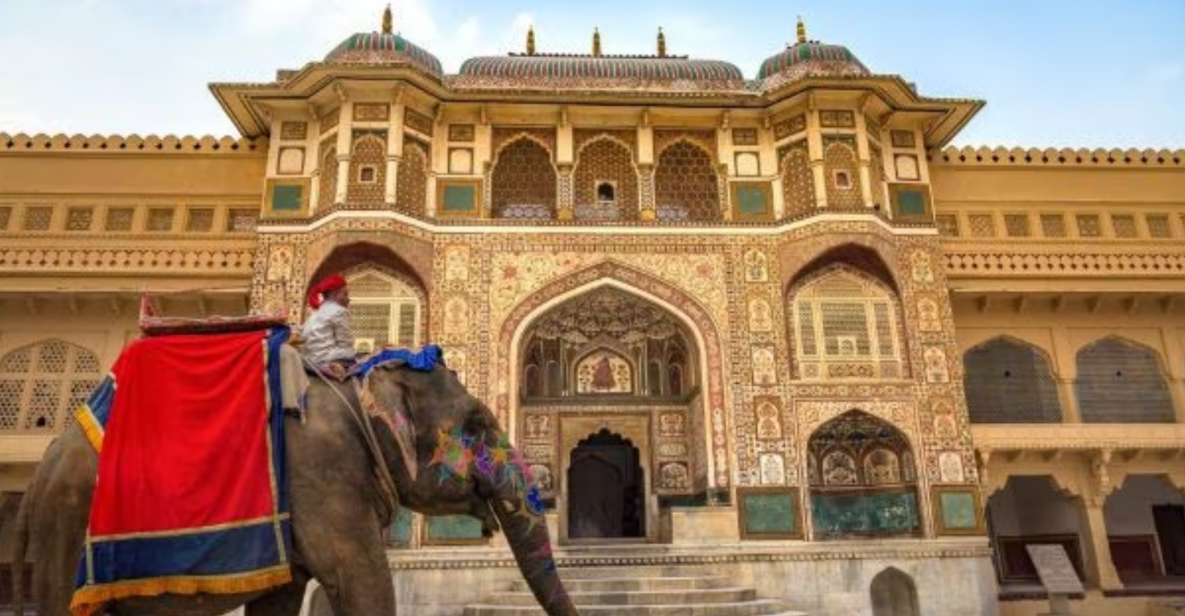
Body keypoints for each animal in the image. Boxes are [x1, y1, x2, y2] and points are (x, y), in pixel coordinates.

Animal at [12, 357, 578, 611]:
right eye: (476, 424)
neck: (356, 390)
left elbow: (283, 597)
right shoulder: (318, 473)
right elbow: (363, 581)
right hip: (67, 524)